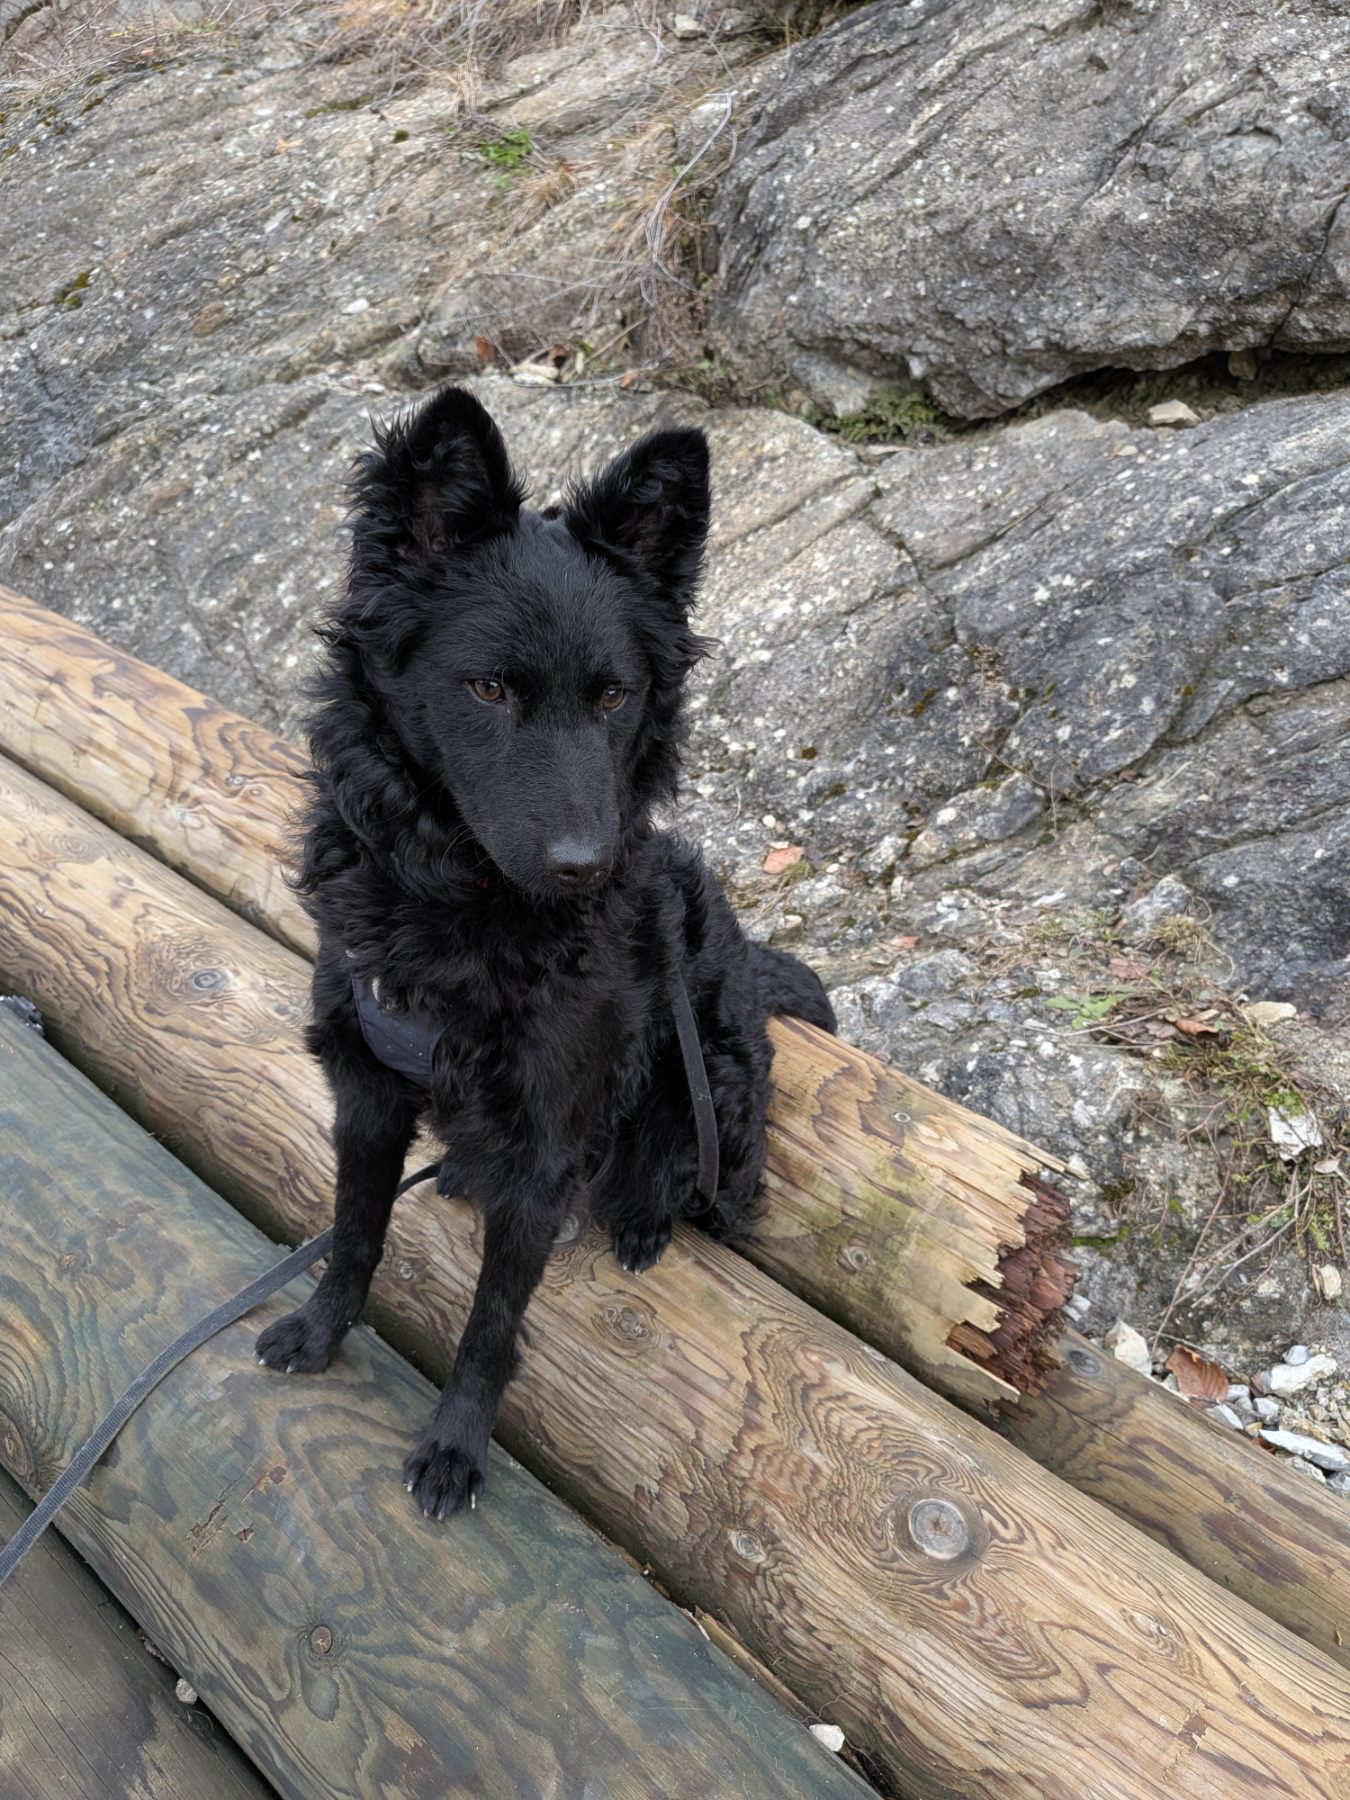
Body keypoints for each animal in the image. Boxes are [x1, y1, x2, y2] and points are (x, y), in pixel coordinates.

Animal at [256, 386, 835, 1517]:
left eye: (614, 696)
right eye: (487, 690)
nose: (586, 866)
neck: (462, 915)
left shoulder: (545, 1143)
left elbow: (490, 1325)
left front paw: (456, 1445)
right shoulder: (367, 1086)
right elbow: (354, 1233)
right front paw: (321, 1327)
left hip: (714, 1086)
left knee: (706, 1187)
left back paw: (645, 1221)